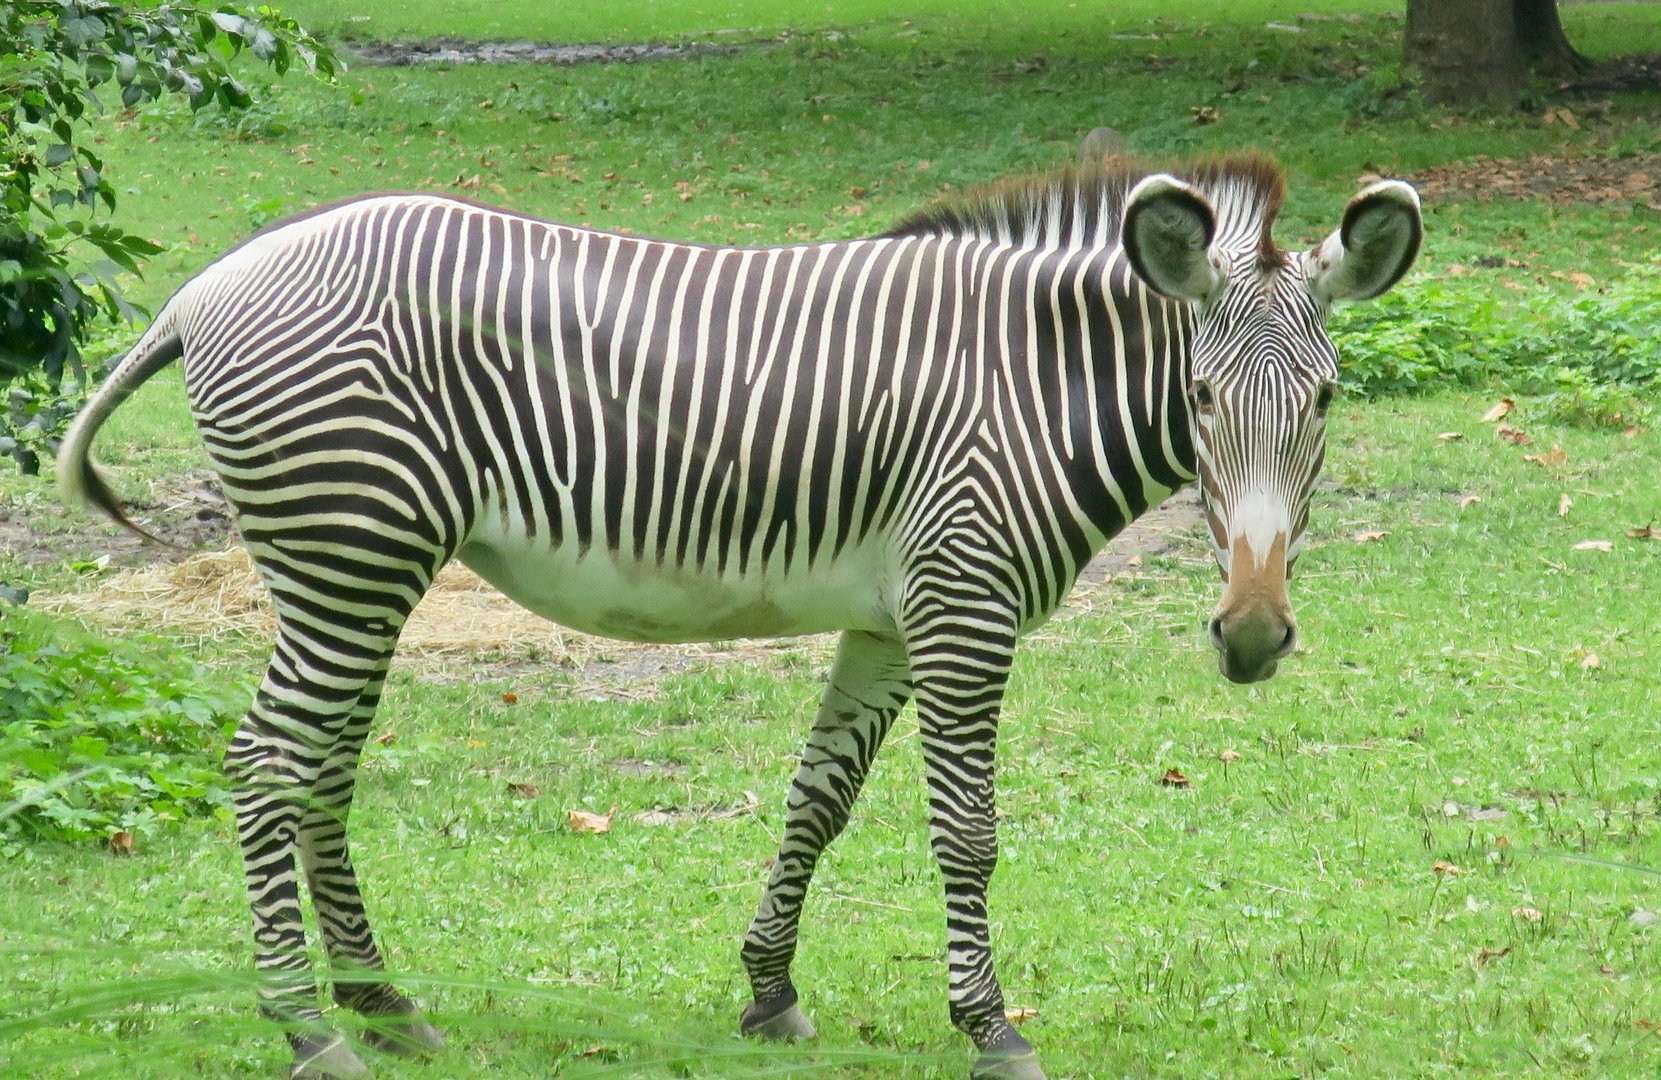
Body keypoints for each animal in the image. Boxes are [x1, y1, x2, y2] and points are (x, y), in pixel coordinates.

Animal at [58, 154, 1421, 1080]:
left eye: (1326, 397)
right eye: (1196, 395)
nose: (1251, 635)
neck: (1030, 386)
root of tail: (207, 285)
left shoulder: (891, 618)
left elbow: (817, 799)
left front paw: (767, 991)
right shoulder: (963, 604)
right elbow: (965, 832)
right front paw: (990, 1026)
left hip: (355, 568)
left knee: (320, 771)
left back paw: (383, 1007)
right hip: (349, 549)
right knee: (266, 763)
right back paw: (305, 1026)